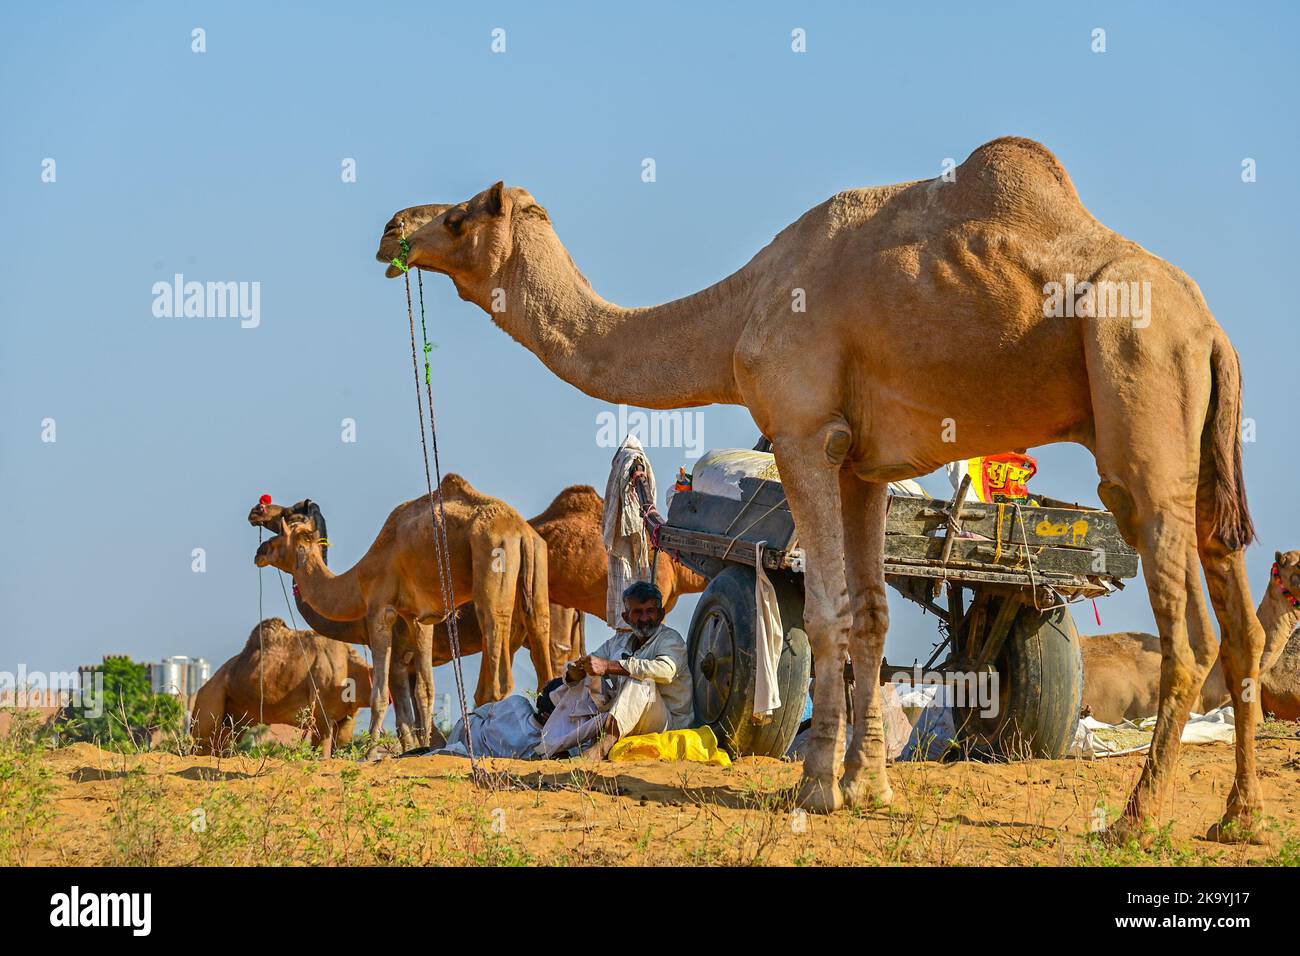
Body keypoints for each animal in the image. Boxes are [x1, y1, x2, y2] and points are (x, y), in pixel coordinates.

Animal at [189, 616, 371, 759]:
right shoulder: (321, 711)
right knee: (202, 740)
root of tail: (203, 687)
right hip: (211, 696)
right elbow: (322, 749)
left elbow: (338, 746)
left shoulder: (347, 718)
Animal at [379, 138, 1274, 842]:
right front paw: (868, 786)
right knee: (1239, 620)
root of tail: (1213, 332)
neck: (741, 312)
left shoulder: (806, 431)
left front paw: (815, 788)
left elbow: (821, 612)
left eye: (461, 217)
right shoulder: (865, 464)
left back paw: (1136, 818)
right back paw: (1237, 819)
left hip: (1138, 375)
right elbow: (869, 614)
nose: (394, 228)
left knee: (1189, 628)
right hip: (1198, 439)